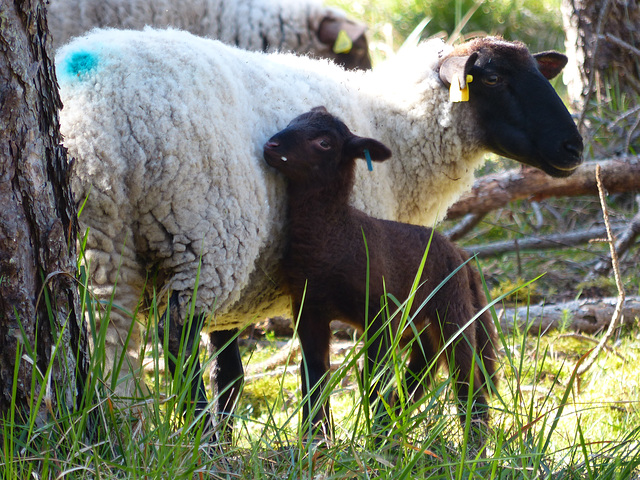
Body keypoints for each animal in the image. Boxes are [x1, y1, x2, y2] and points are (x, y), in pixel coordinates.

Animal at [57, 29, 584, 436]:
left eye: (542, 75)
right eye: (492, 78)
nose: (574, 148)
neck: (395, 130)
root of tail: (87, 121)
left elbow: (232, 373)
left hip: (106, 246)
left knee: (104, 340)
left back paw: (114, 427)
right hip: (201, 235)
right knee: (174, 340)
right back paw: (193, 438)